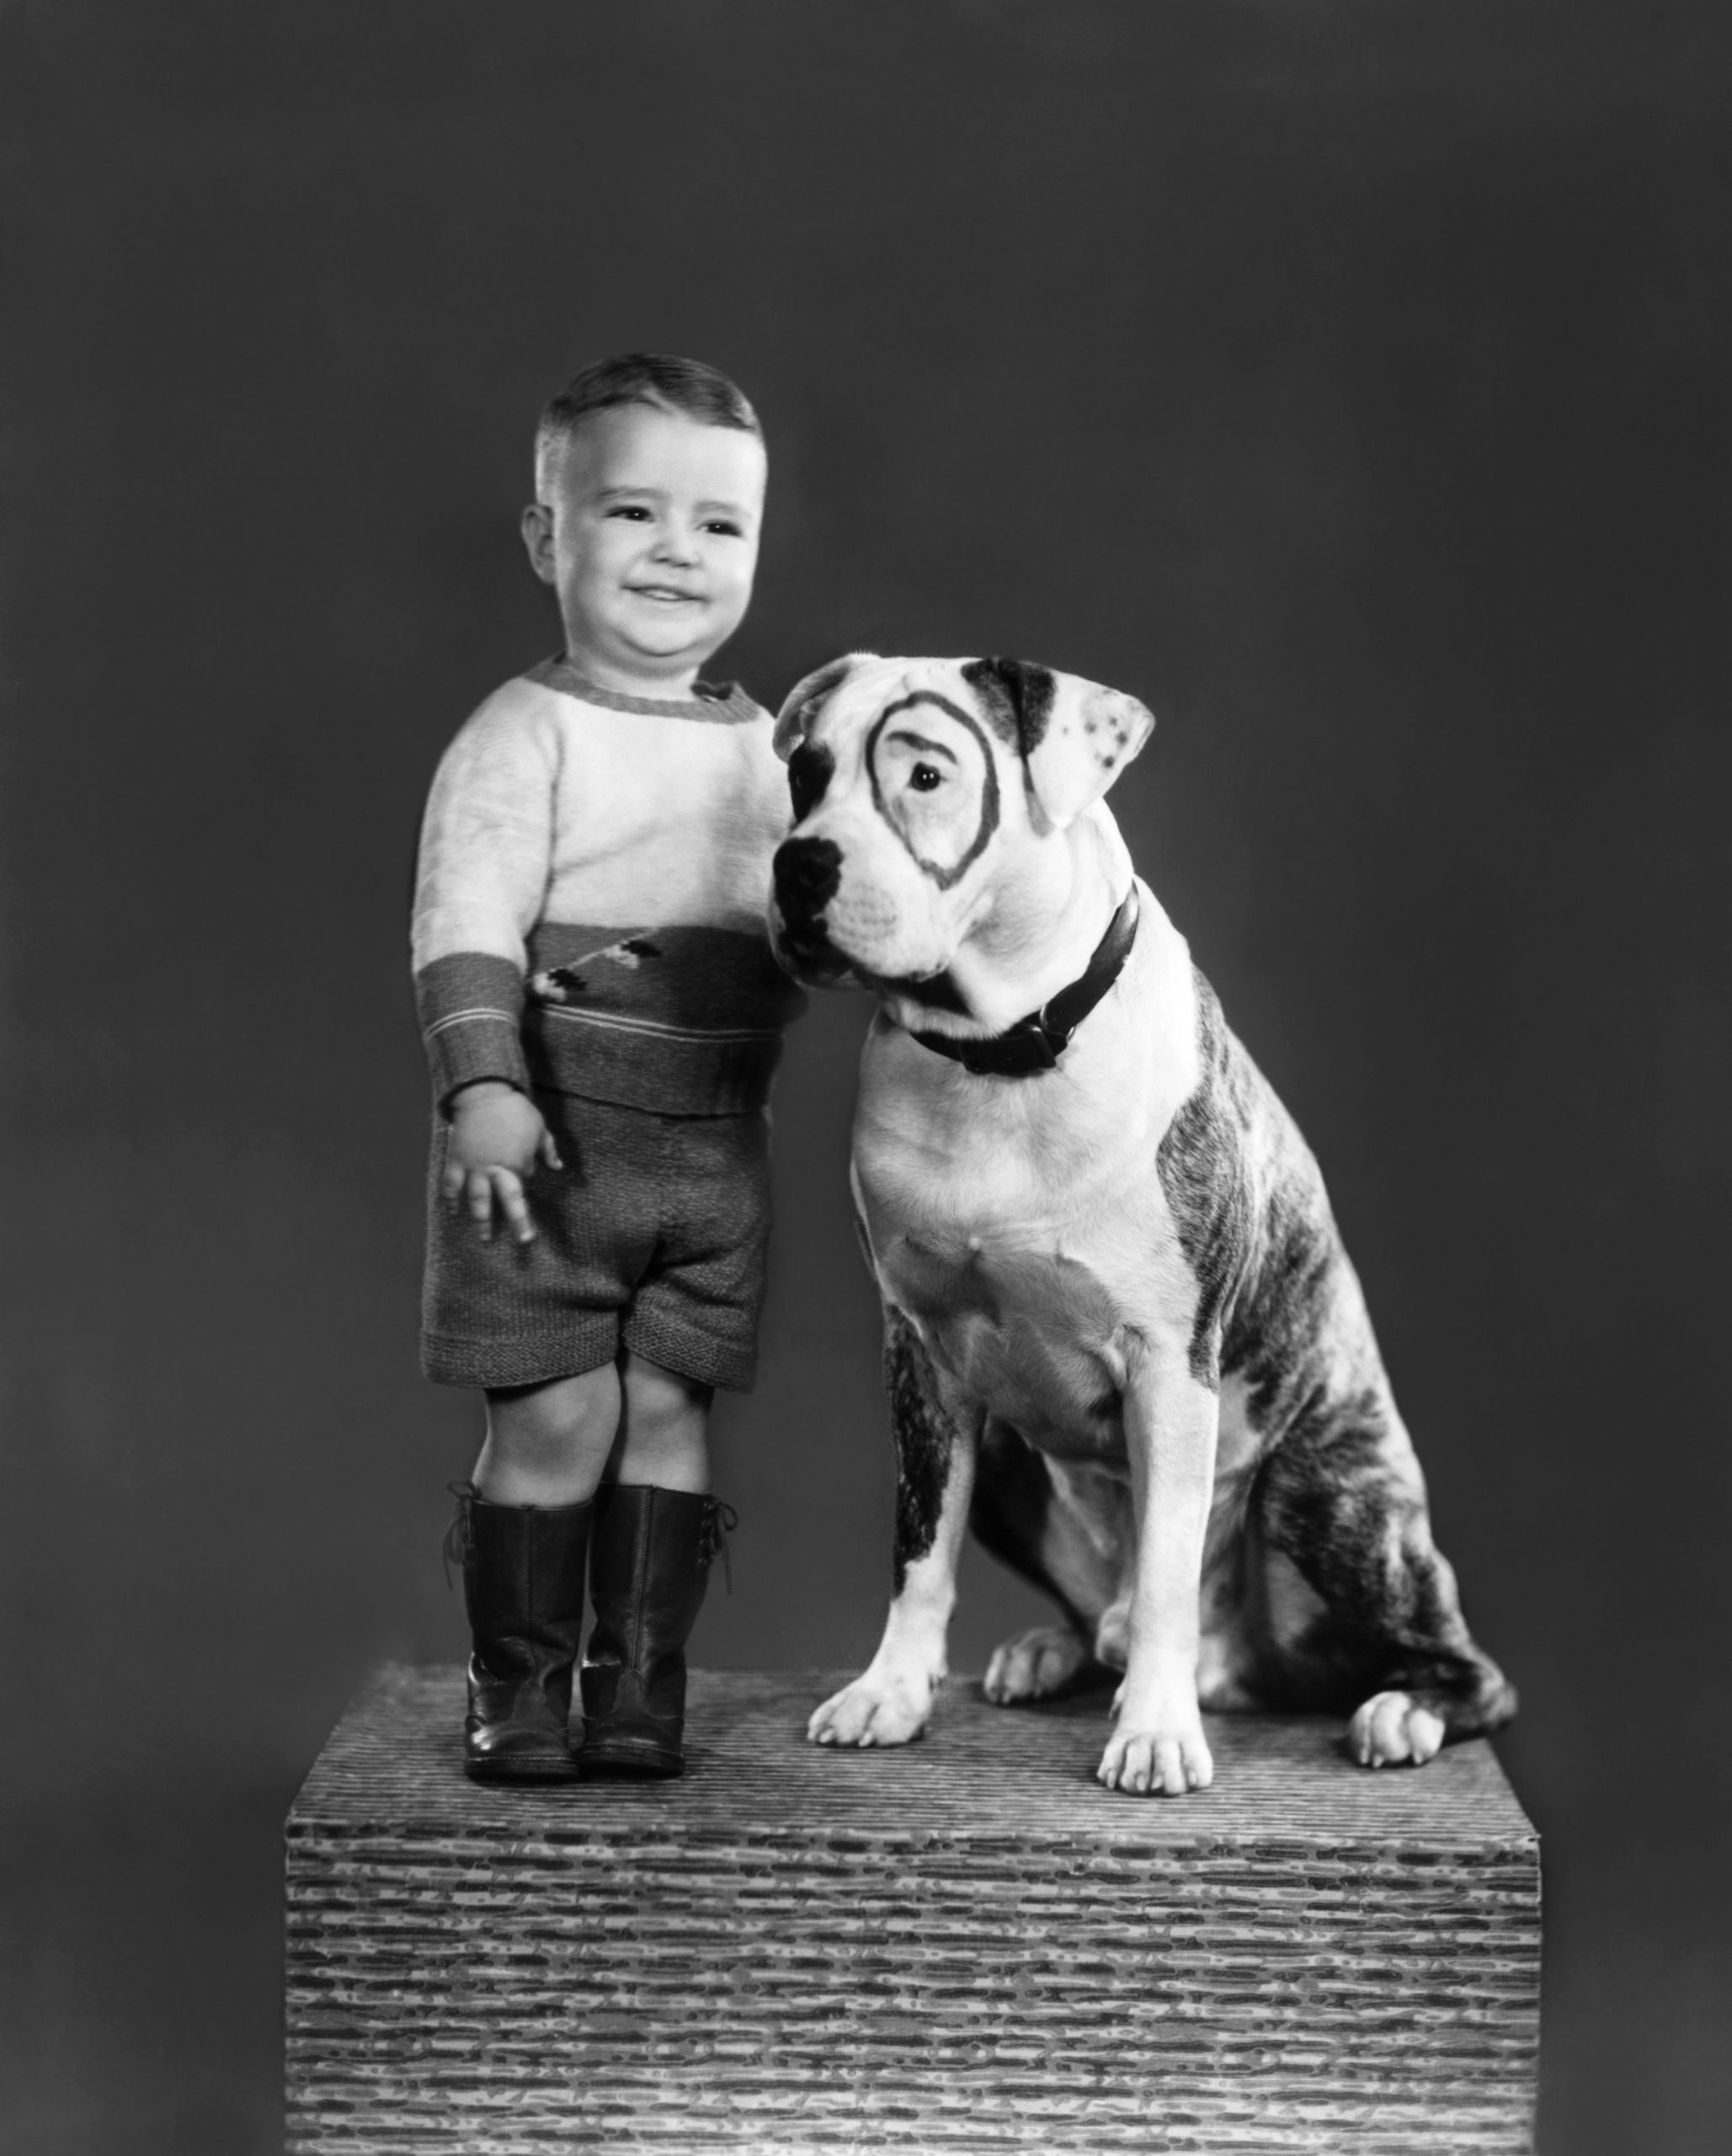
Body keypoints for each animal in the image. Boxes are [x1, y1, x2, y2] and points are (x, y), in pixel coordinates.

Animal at [770, 655, 1516, 1802]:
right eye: (804, 775)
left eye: (926, 775)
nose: (798, 864)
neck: (1000, 1057)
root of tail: (1246, 1669)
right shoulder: (922, 1361)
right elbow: (917, 1546)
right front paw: (888, 1693)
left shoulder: (1169, 1365)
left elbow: (1165, 1560)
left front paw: (1155, 1735)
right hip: (1011, 1467)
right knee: (1093, 1608)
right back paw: (1059, 1652)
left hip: (1322, 1493)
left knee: (1455, 1665)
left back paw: (1398, 1708)